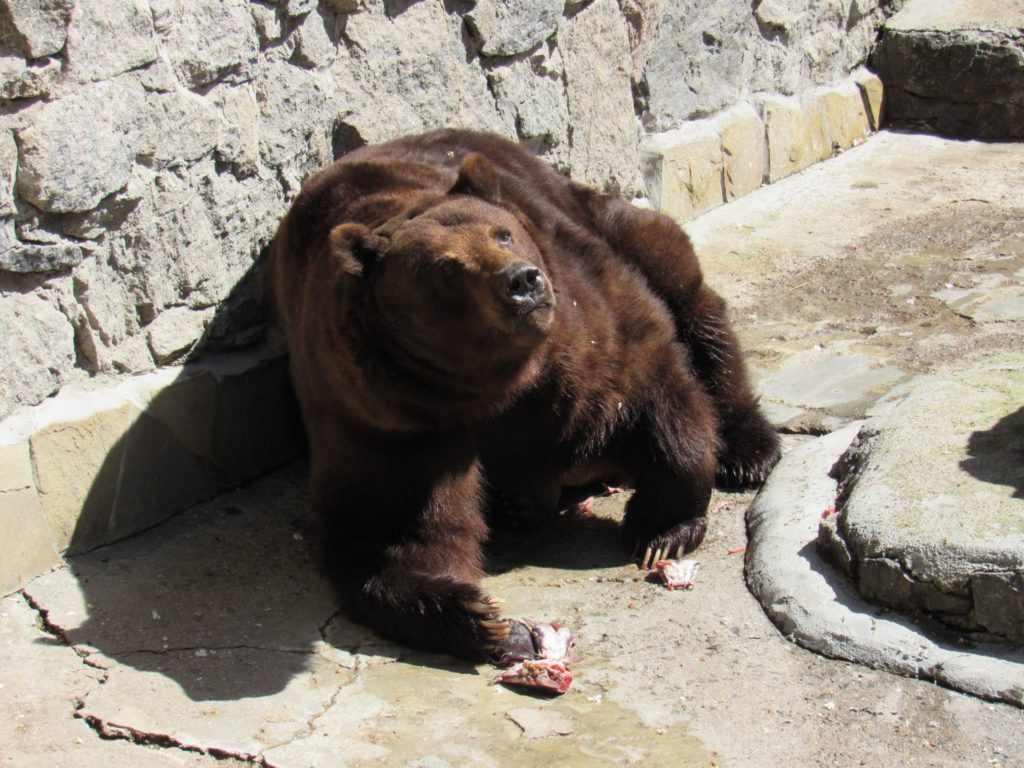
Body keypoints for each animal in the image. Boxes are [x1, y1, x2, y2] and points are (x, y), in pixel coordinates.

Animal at [268, 129, 778, 663]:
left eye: (501, 233)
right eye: (446, 268)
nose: (521, 280)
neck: (482, 384)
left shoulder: (576, 331)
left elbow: (648, 390)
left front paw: (660, 532)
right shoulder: (385, 416)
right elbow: (394, 524)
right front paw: (481, 618)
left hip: (596, 217)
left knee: (681, 285)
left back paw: (746, 451)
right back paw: (523, 503)